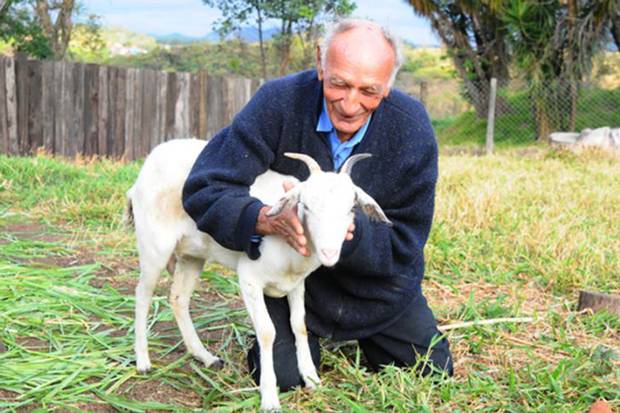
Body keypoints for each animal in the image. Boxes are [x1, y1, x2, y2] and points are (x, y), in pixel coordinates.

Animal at [126, 138, 390, 408]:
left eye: (351, 209)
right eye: (305, 206)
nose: (329, 252)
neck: (292, 256)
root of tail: (152, 158)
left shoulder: (297, 283)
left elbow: (299, 325)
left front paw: (311, 379)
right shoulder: (250, 280)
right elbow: (267, 332)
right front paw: (270, 397)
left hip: (193, 255)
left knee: (178, 298)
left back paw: (205, 356)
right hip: (154, 247)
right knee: (142, 296)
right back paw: (143, 361)